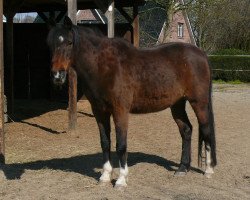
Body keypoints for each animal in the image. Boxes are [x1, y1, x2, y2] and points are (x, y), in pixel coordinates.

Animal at [47, 17, 217, 188]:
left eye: (69, 42)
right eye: (51, 43)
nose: (57, 75)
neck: (104, 66)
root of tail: (201, 54)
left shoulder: (120, 110)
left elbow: (121, 145)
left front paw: (121, 180)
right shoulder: (99, 111)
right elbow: (105, 142)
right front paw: (105, 176)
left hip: (199, 102)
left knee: (206, 130)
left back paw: (209, 170)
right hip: (177, 104)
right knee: (186, 130)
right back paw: (182, 168)